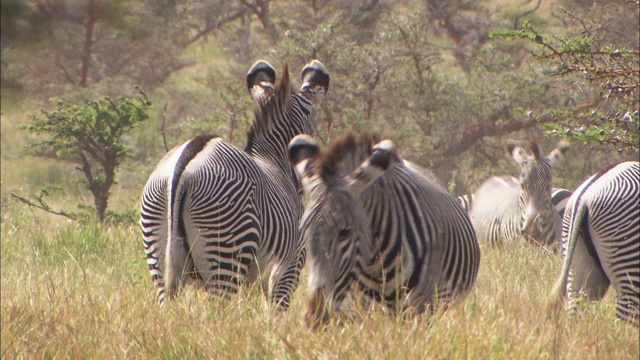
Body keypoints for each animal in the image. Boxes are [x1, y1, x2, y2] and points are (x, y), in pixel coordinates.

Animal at [288, 131, 480, 326]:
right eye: (303, 231)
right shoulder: (357, 312)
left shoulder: (423, 309)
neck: (377, 266)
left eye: (344, 232)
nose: (316, 318)